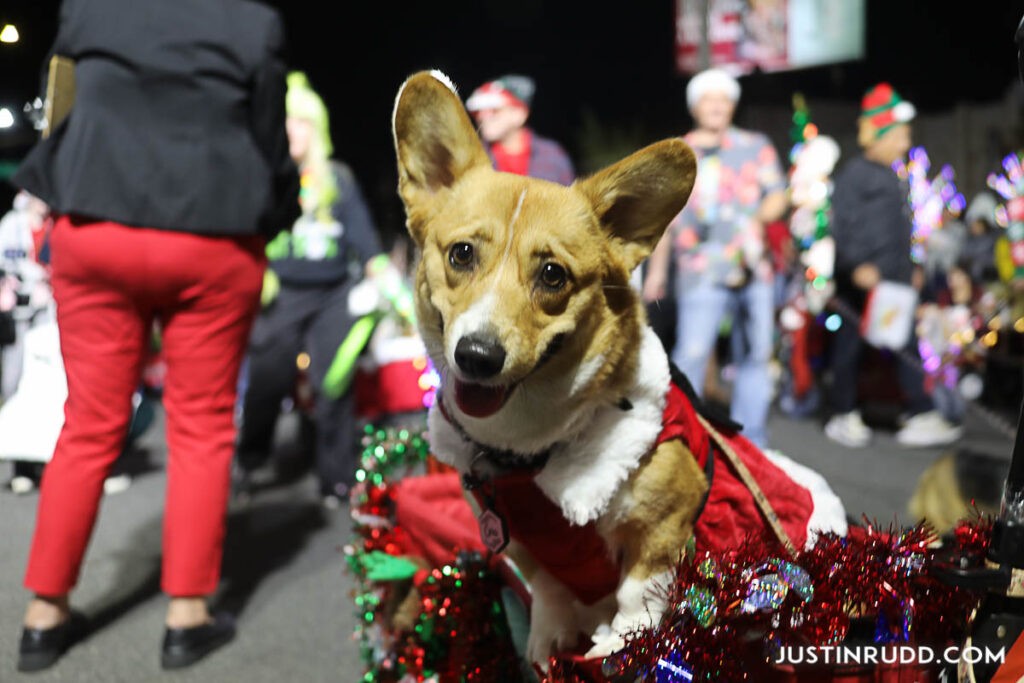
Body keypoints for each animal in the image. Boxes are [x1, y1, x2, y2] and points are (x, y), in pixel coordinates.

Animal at [387, 70, 843, 667]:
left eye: (552, 275)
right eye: (461, 254)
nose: (478, 356)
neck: (527, 451)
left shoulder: (666, 525)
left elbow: (638, 596)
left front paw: (619, 645)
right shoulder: (524, 545)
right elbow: (550, 591)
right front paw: (547, 641)